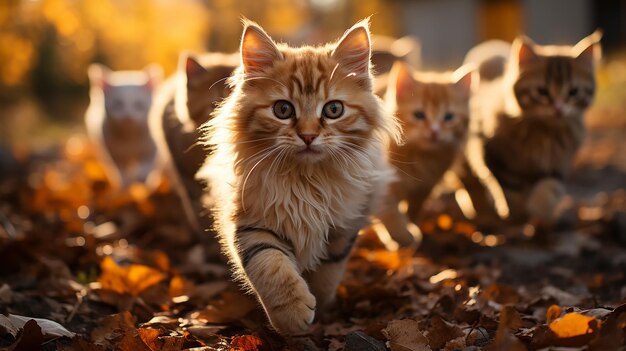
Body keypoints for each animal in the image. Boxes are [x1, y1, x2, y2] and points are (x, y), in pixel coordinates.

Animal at [197, 19, 398, 336]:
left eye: (333, 109)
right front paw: (291, 315)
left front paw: (321, 304)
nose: (308, 135)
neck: (306, 181)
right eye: (283, 109)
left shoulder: (343, 224)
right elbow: (270, 264)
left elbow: (328, 270)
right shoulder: (251, 220)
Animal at [372, 61, 470, 248]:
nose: (434, 131)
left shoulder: (424, 188)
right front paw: (402, 235)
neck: (420, 158)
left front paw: (410, 227)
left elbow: (414, 210)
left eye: (449, 117)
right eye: (419, 115)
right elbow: (389, 210)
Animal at [458, 31, 600, 227]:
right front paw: (518, 213)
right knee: (470, 183)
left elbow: (548, 189)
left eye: (573, 92)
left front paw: (540, 212)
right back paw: (479, 210)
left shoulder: (558, 163)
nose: (558, 109)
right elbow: (511, 191)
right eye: (542, 92)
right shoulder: (494, 157)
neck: (545, 134)